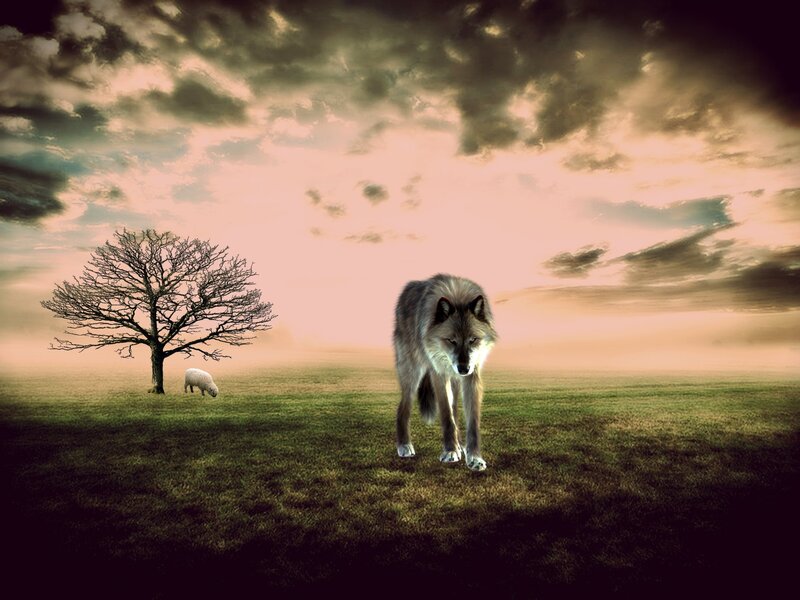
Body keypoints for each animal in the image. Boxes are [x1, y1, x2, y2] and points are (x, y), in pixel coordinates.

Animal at [393, 274, 497, 471]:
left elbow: (471, 422)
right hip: (413, 374)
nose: (463, 368)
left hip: (455, 381)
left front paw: (474, 457)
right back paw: (404, 446)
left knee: (455, 409)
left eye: (473, 340)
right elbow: (446, 415)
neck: (458, 296)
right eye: (451, 340)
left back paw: (460, 445)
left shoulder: (472, 377)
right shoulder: (439, 375)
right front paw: (450, 451)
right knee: (402, 408)